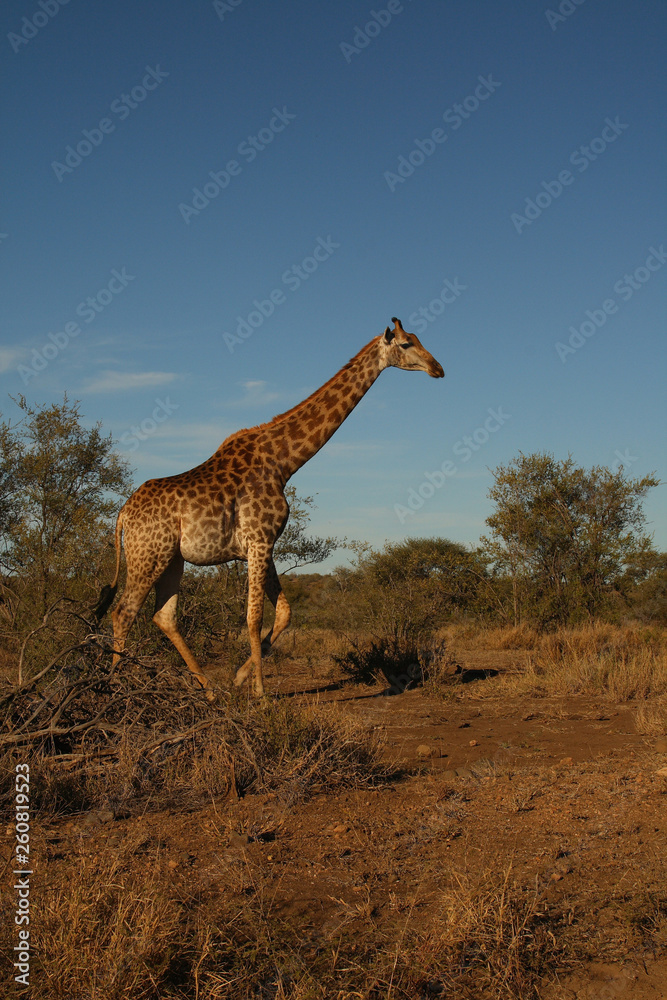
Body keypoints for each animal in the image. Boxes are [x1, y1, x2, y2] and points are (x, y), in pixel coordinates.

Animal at [94, 317, 444, 699]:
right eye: (407, 343)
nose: (438, 368)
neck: (282, 462)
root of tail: (123, 514)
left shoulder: (264, 544)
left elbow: (285, 613)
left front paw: (239, 678)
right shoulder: (259, 540)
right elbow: (253, 617)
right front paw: (260, 693)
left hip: (171, 559)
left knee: (163, 615)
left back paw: (210, 691)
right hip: (148, 555)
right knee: (123, 612)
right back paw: (112, 687)